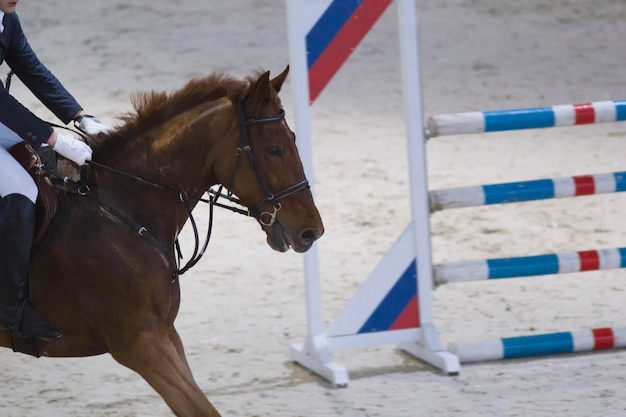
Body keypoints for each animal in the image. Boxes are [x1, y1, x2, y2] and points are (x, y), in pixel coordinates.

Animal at [0, 66, 322, 414]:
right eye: (274, 149)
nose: (312, 230)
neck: (124, 206)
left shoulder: (165, 333)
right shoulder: (140, 344)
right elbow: (201, 408)